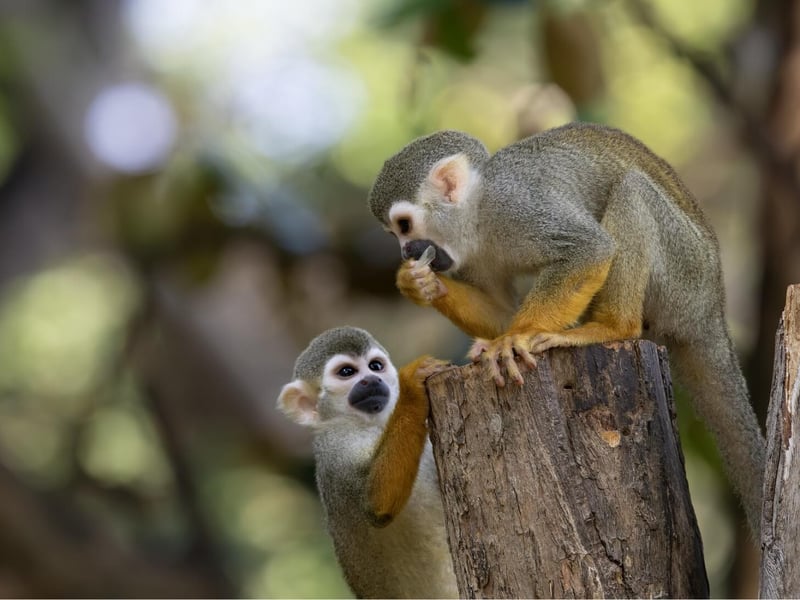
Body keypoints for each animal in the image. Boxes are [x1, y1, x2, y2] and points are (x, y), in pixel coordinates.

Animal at [277, 327, 458, 599]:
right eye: (347, 372)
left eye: (375, 366)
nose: (372, 380)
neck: (370, 424)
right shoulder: (335, 451)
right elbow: (376, 503)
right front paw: (411, 388)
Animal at [367, 122, 766, 535]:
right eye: (395, 234)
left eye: (404, 225)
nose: (405, 253)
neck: (478, 217)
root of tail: (713, 308)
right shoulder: (468, 257)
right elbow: (502, 310)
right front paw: (421, 285)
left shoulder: (517, 203)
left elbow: (588, 249)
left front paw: (516, 338)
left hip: (687, 272)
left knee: (633, 188)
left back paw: (612, 326)